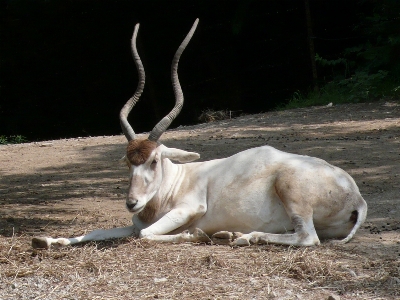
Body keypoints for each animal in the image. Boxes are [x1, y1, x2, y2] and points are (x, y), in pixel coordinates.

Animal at [32, 17, 368, 250]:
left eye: (154, 160)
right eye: (128, 162)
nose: (131, 203)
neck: (174, 181)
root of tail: (357, 196)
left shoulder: (188, 209)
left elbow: (145, 234)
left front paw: (194, 234)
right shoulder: (134, 222)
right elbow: (102, 231)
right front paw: (49, 241)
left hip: (291, 191)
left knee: (307, 237)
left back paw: (240, 238)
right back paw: (229, 234)